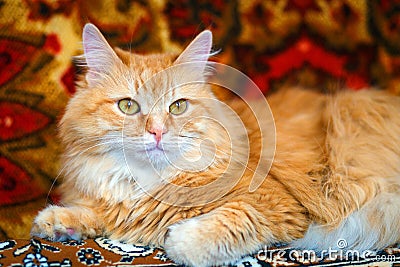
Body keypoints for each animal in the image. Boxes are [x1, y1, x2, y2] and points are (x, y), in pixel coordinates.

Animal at [31, 23, 400, 267]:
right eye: (128, 106)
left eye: (178, 107)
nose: (157, 132)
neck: (145, 185)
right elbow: (93, 213)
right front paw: (57, 221)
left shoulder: (277, 202)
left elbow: (234, 218)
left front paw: (181, 241)